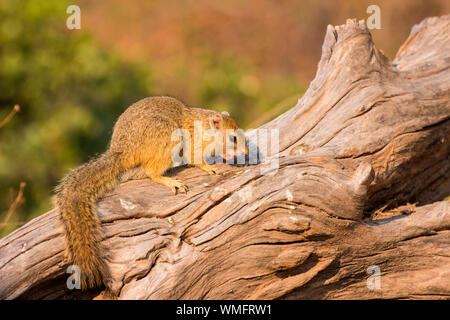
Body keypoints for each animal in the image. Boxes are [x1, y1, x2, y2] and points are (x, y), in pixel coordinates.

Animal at [55, 96, 250, 292]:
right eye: (233, 138)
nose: (247, 154)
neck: (205, 127)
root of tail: (124, 151)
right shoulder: (194, 143)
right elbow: (195, 159)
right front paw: (209, 167)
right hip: (166, 136)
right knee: (152, 172)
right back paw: (169, 181)